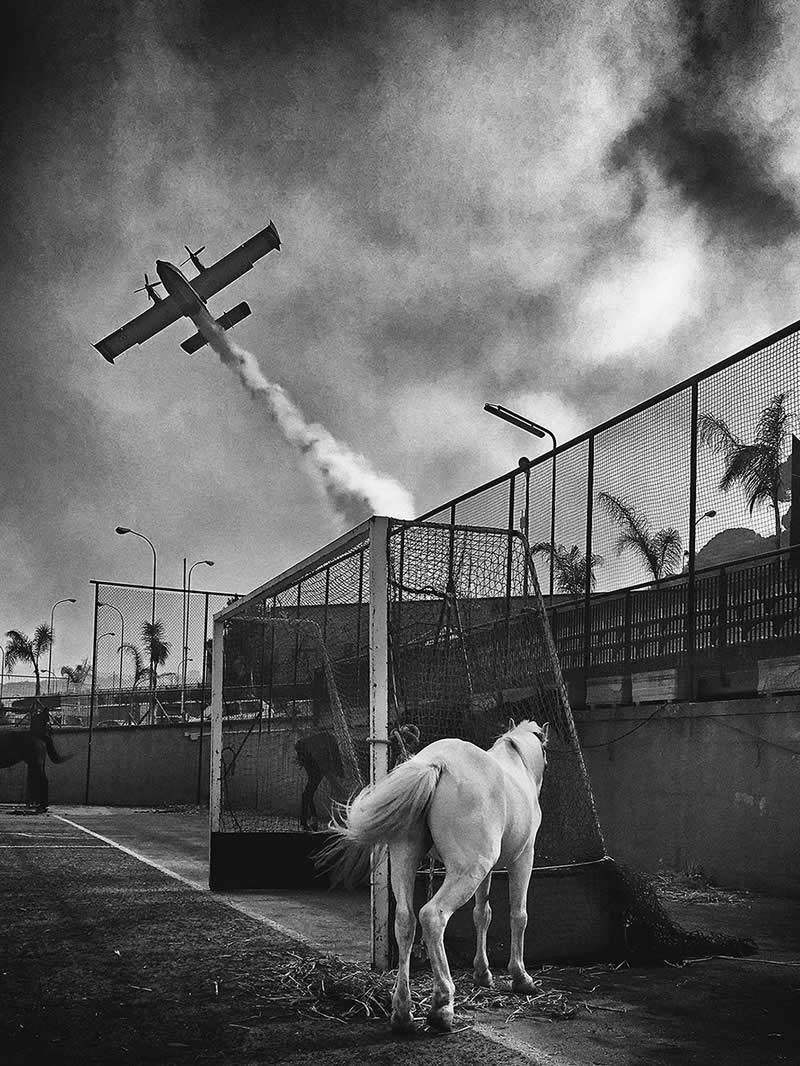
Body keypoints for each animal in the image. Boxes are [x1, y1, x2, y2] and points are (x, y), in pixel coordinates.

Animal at [318, 718, 548, 1033]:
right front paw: (521, 978)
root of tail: (436, 763)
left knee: (405, 921)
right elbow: (518, 916)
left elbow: (482, 914)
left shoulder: (488, 872)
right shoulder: (523, 859)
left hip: (408, 858)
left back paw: (403, 1012)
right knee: (432, 916)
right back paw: (442, 1005)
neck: (516, 767)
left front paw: (483, 974)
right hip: (468, 870)